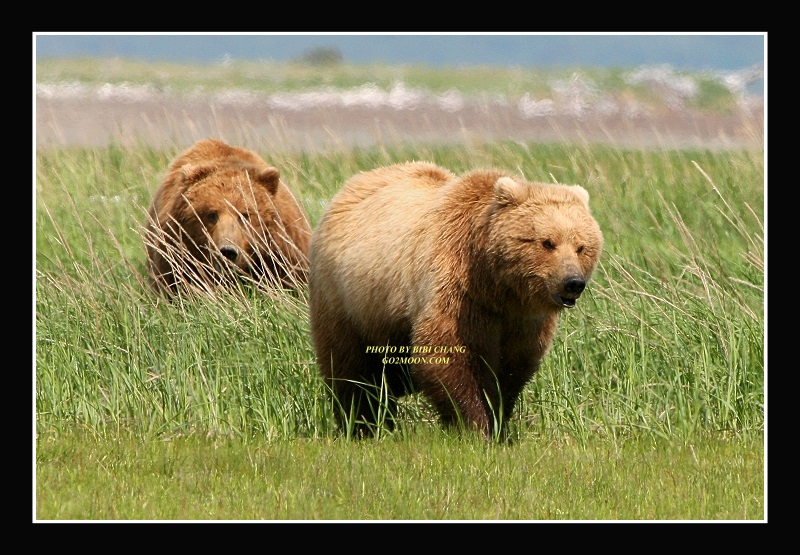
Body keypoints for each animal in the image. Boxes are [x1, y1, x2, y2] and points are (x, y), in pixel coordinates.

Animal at [308, 161, 603, 439]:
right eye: (547, 242)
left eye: (581, 246)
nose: (573, 282)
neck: (496, 286)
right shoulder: (459, 293)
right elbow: (448, 355)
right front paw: (476, 426)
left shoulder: (521, 321)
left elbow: (511, 369)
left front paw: (499, 422)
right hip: (346, 300)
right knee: (352, 371)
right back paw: (364, 426)